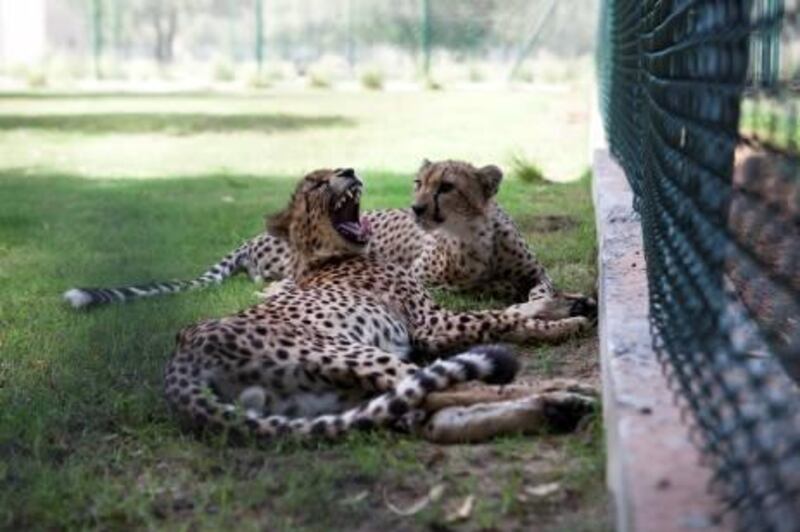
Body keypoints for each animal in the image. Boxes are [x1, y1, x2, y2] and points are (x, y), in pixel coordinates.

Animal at [167, 169, 592, 440]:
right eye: (315, 183)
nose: (349, 170)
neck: (328, 258)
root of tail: (181, 359)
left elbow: (518, 305)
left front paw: (572, 302)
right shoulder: (433, 325)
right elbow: (504, 316)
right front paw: (564, 320)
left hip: (329, 395)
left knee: (430, 414)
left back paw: (557, 409)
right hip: (357, 355)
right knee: (459, 387)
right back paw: (565, 390)